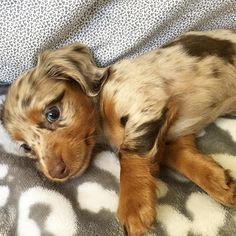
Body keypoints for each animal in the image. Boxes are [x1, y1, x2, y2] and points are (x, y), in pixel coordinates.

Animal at [1, 29, 236, 236]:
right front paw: (218, 182)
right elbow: (180, 157)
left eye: (52, 113)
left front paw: (133, 207)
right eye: (26, 147)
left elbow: (129, 155)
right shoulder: (172, 134)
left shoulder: (144, 102)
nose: (55, 173)